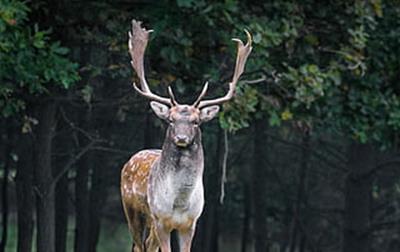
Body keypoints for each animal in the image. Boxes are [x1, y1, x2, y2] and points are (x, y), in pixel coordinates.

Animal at [120, 20, 252, 252]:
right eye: (170, 120)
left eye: (196, 121)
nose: (181, 138)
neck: (179, 203)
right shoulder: (161, 220)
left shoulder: (190, 224)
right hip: (133, 210)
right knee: (139, 245)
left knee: (147, 245)